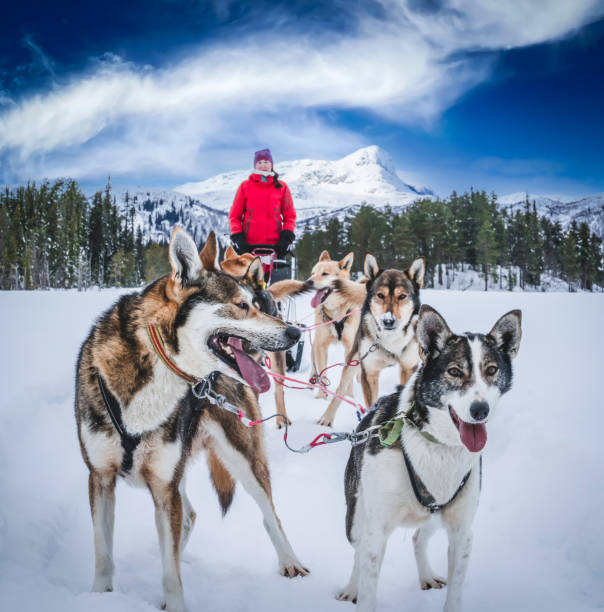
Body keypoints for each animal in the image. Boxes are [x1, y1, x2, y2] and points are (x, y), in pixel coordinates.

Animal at [306, 249, 364, 402]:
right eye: (312, 273)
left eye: (325, 274)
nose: (308, 282)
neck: (336, 313)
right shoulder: (321, 346)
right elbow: (321, 371)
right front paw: (321, 397)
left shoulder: (350, 346)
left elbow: (348, 376)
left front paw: (348, 397)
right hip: (314, 346)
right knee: (314, 367)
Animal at [316, 253, 424, 426]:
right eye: (380, 295)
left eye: (402, 296)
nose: (388, 321)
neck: (391, 341)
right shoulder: (369, 372)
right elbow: (372, 406)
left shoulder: (408, 368)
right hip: (353, 360)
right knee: (341, 388)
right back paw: (327, 417)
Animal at [338, 304, 520, 612]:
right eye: (455, 371)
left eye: (492, 370)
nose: (480, 410)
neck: (438, 445)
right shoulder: (376, 530)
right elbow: (367, 582)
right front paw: (359, 591)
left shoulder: (461, 532)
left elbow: (455, 592)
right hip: (356, 518)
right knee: (357, 553)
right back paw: (351, 587)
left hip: (434, 517)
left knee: (417, 537)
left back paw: (425, 575)